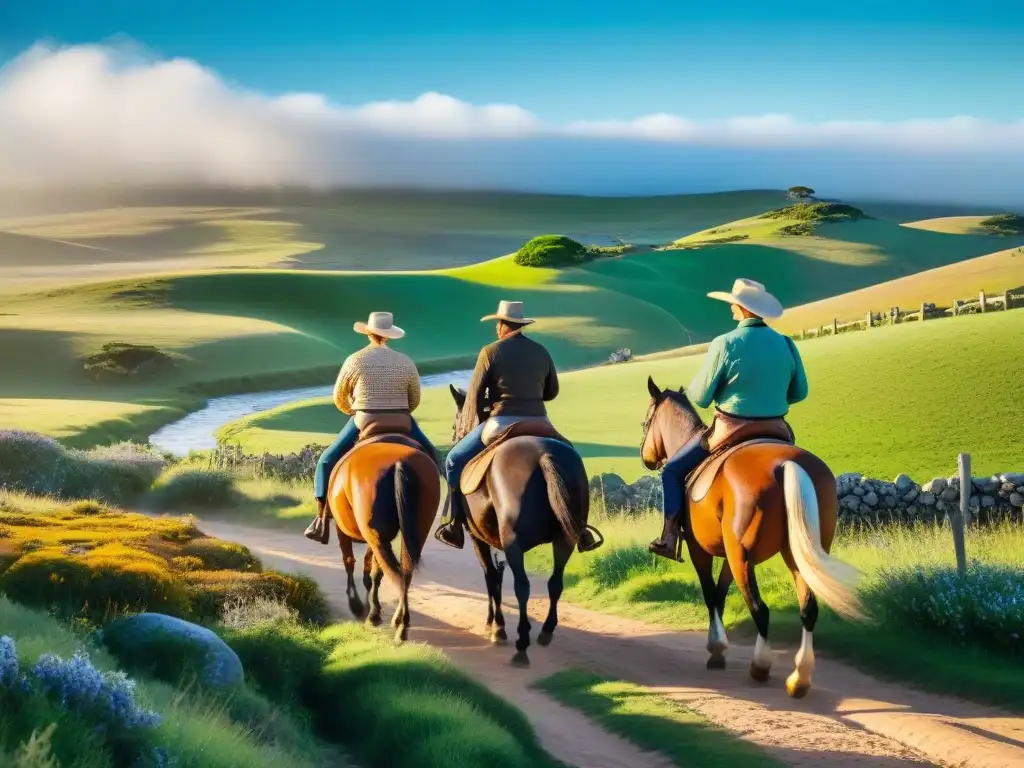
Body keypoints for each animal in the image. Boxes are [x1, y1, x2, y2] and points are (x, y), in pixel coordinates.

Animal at [327, 434, 440, 643]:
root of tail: (399, 462)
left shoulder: (342, 529)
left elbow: (350, 561)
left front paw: (357, 605)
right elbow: (370, 568)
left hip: (376, 536)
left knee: (393, 573)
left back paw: (392, 622)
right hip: (414, 533)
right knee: (404, 571)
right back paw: (397, 620)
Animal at [450, 385, 598, 667]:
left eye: (455, 422)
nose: (456, 435)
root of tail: (542, 455)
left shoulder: (478, 538)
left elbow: (491, 578)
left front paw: (497, 628)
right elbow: (495, 577)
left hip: (513, 543)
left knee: (522, 586)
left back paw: (521, 646)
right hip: (565, 538)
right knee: (555, 583)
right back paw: (546, 631)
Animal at [638, 376, 864, 700]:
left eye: (646, 421)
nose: (645, 457)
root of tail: (786, 464)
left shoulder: (700, 551)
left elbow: (711, 595)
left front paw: (717, 649)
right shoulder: (730, 556)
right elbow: (721, 594)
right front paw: (717, 649)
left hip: (743, 557)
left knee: (760, 609)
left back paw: (761, 666)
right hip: (794, 554)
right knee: (808, 609)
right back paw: (799, 678)